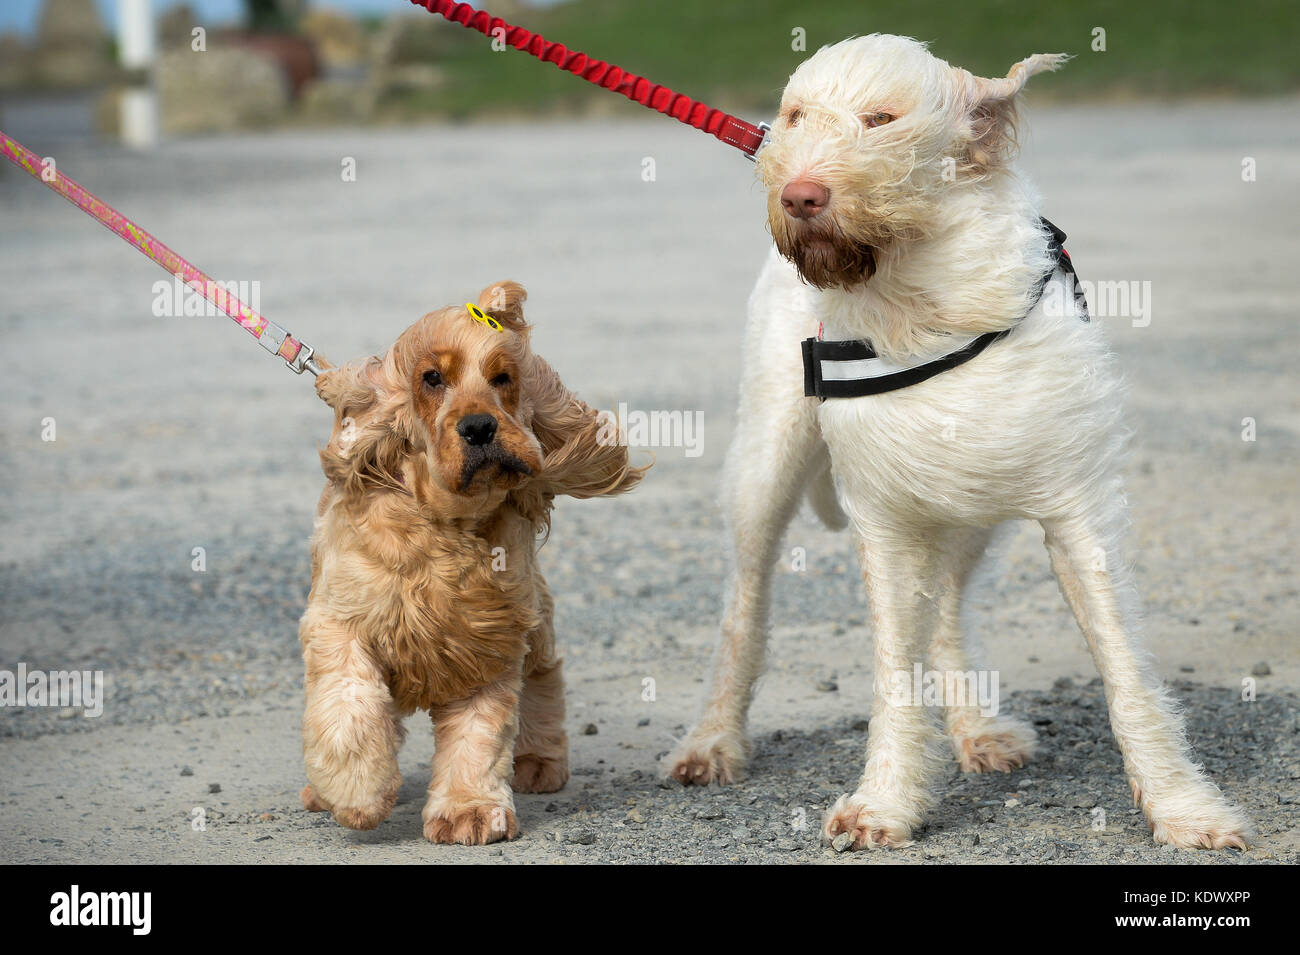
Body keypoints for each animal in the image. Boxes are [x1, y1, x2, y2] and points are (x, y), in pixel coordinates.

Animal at [670, 35, 1248, 852]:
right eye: (794, 116)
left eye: (881, 119)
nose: (800, 196)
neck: (926, 301)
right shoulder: (884, 521)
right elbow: (893, 671)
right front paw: (886, 802)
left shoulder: (1079, 512)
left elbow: (1125, 666)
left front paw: (1182, 807)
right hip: (767, 465)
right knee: (743, 607)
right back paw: (713, 740)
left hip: (971, 512)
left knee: (945, 607)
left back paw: (975, 728)